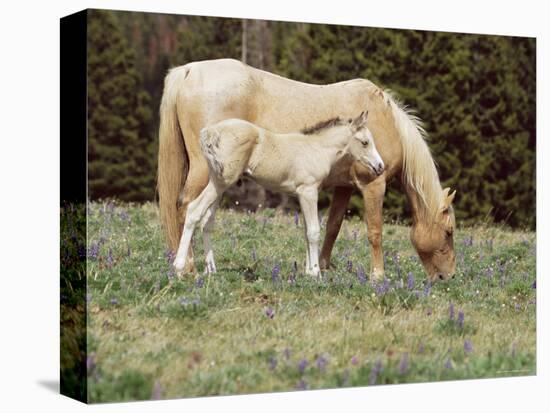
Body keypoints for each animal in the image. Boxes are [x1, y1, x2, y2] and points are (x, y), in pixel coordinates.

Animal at [175, 111, 386, 276]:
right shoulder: (309, 191)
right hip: (221, 183)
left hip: (218, 182)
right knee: (194, 210)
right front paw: (316, 273)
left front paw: (308, 271)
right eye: (365, 142)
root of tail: (211, 131)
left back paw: (211, 269)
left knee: (207, 221)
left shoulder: (301, 194)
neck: (316, 148)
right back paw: (178, 267)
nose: (380, 167)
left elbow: (305, 231)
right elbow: (314, 231)